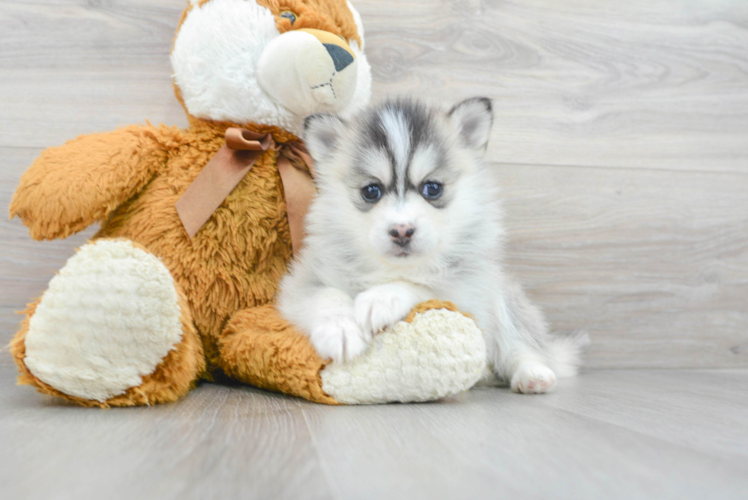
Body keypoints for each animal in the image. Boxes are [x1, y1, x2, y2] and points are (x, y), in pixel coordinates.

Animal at [278, 96, 588, 394]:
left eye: (433, 188)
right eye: (371, 191)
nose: (402, 231)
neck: (393, 268)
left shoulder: (468, 296)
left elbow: (424, 286)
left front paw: (382, 298)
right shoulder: (302, 281)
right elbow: (325, 295)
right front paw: (340, 330)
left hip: (502, 297)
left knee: (521, 345)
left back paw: (533, 374)